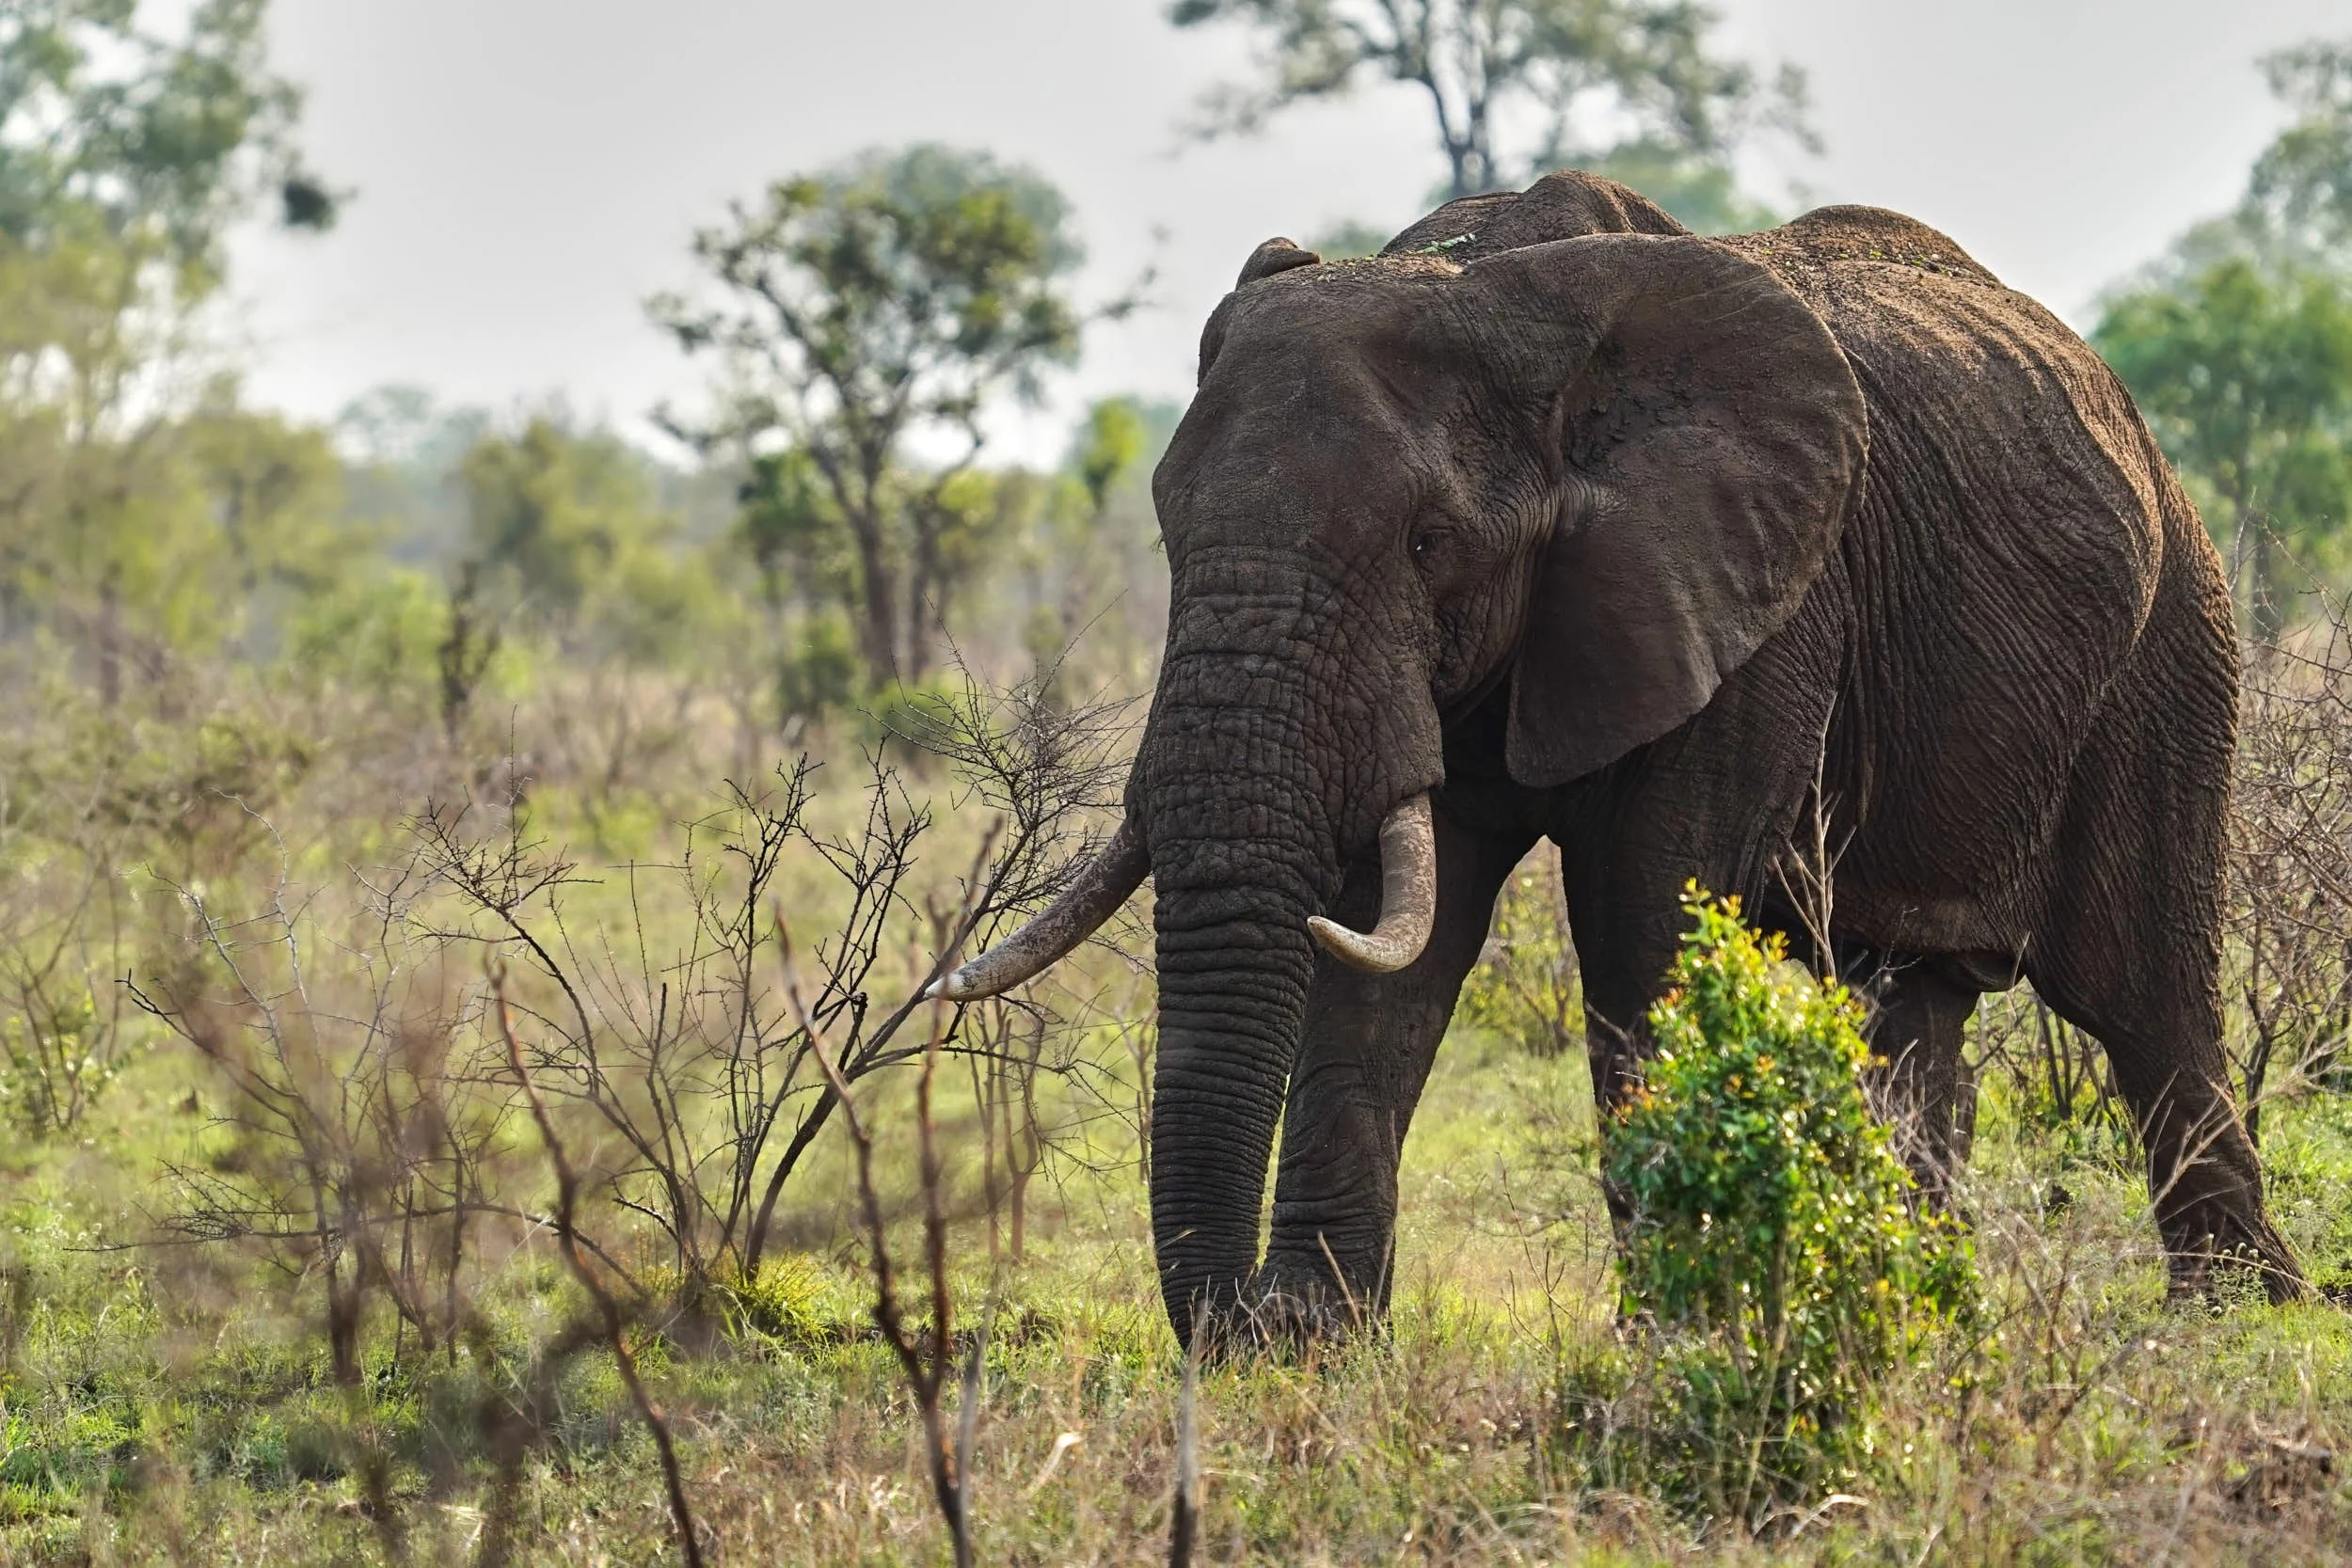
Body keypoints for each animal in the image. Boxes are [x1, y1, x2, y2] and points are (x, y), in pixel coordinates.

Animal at [938, 169, 2308, 1344]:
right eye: (1167, 531)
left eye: (1429, 540)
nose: (1236, 1328)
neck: (1500, 289)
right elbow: (1398, 939)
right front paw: (1319, 1346)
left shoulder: (1752, 603)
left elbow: (1644, 916)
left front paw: (1679, 1339)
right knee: (1914, 1022)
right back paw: (1928, 1313)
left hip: (2173, 643)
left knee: (2148, 1001)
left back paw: (2233, 1316)